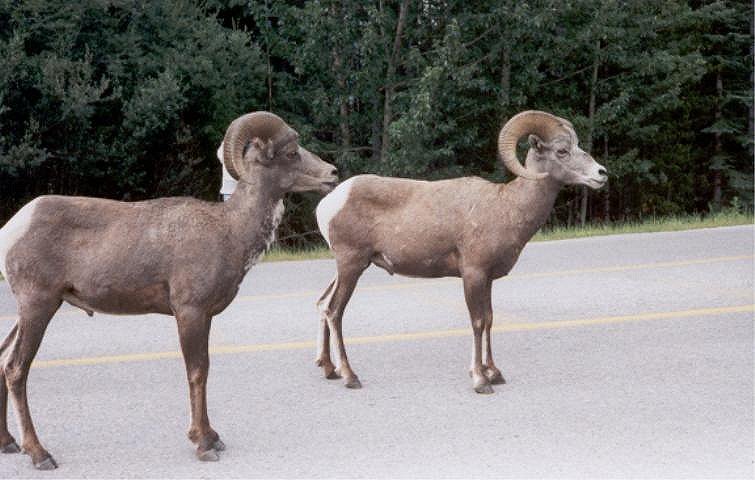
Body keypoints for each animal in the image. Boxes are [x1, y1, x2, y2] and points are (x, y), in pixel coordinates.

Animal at [0, 110, 338, 466]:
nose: (332, 174)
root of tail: (12, 229)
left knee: (3, 361)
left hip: (30, 311)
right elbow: (197, 372)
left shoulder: (205, 316)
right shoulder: (190, 312)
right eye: (291, 152)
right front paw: (203, 445)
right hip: (38, 306)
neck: (229, 230)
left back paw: (9, 443)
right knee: (16, 369)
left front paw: (213, 437)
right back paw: (39, 455)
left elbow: (204, 368)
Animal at [318, 111, 608, 394]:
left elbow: (490, 319)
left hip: (347, 268)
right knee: (334, 311)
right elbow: (477, 322)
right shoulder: (473, 274)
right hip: (352, 265)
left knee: (323, 304)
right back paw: (350, 377)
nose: (602, 173)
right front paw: (480, 381)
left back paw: (329, 370)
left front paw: (495, 374)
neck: (507, 208)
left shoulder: (487, 279)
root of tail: (329, 203)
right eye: (562, 151)